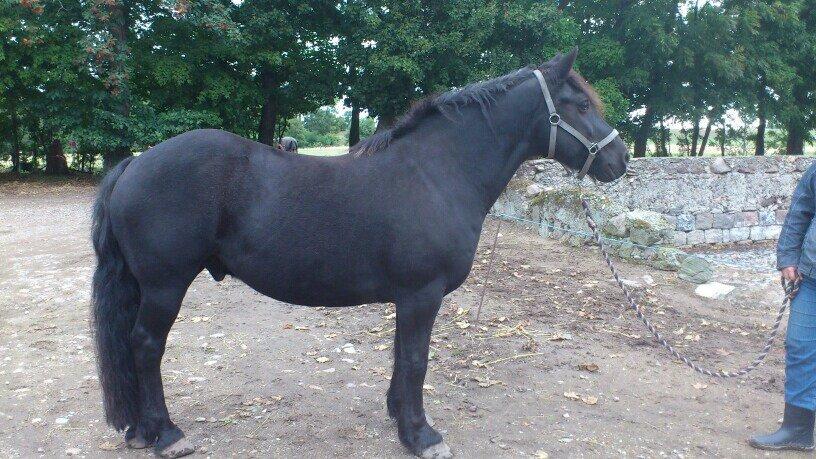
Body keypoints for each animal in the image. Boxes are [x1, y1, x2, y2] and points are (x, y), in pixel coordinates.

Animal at [90, 48, 628, 458]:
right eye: (579, 104)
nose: (619, 160)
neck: (437, 173)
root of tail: (136, 162)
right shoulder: (422, 294)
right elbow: (416, 359)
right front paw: (421, 436)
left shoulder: (409, 298)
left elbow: (402, 356)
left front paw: (399, 417)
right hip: (165, 286)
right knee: (145, 346)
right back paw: (167, 434)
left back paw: (140, 430)